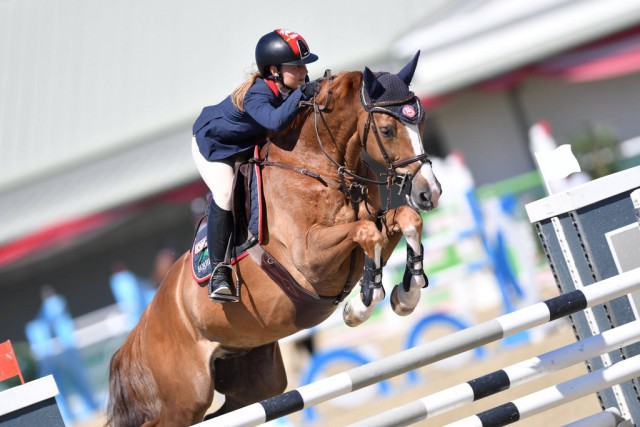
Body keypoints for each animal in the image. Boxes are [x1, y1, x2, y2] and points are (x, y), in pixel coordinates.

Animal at [107, 53, 442, 427]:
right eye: (387, 130)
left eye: (421, 121)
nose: (429, 193)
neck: (320, 167)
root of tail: (142, 326)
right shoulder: (309, 261)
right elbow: (365, 234)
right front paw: (360, 306)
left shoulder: (379, 225)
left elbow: (407, 219)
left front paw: (407, 295)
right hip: (184, 398)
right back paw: (221, 283)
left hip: (253, 376)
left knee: (230, 410)